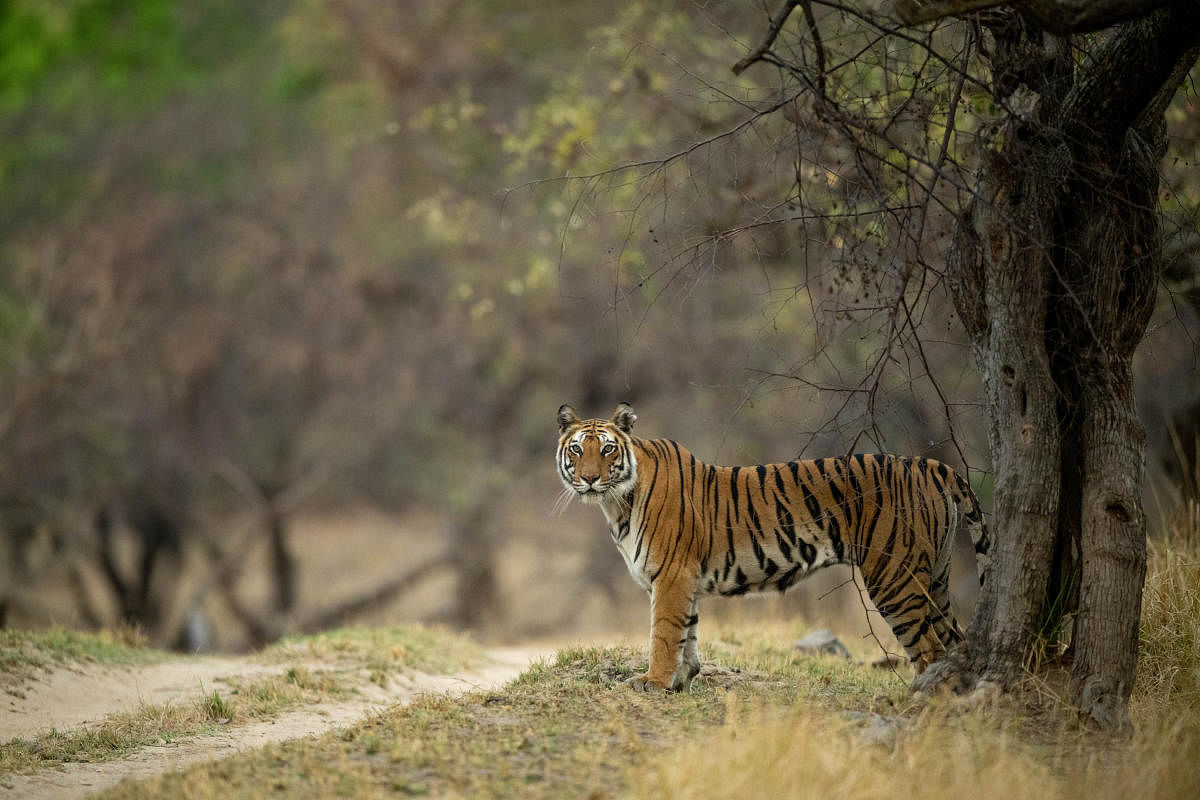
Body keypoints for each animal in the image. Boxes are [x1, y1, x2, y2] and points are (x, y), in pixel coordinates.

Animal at [556, 402, 988, 690]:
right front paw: (682, 679)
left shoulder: (672, 576)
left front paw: (655, 682)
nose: (590, 479)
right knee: (954, 642)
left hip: (896, 578)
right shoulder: (684, 579)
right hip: (935, 579)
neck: (616, 502)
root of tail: (929, 464)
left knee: (929, 650)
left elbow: (663, 633)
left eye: (607, 449)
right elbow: (687, 633)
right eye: (577, 449)